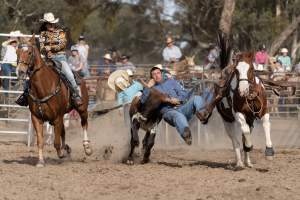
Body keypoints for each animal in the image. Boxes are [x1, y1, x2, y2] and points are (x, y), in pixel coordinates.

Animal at [16, 34, 91, 167]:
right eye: (17, 52)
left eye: (29, 52)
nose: (20, 71)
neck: (43, 87)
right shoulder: (37, 118)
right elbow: (40, 141)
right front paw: (40, 161)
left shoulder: (57, 118)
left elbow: (56, 142)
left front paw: (61, 154)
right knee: (64, 131)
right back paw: (67, 149)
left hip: (82, 109)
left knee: (84, 124)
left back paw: (87, 147)